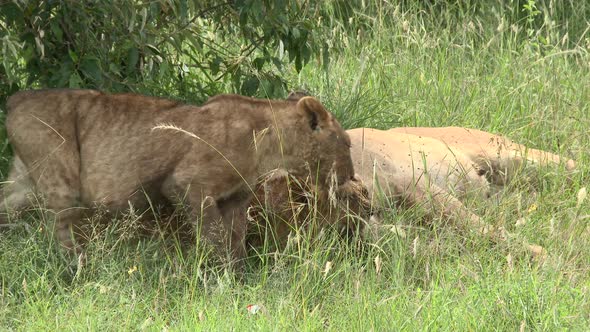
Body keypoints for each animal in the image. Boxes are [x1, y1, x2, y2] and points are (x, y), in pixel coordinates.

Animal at [0, 89, 356, 264]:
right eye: (347, 144)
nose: (352, 176)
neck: (270, 144)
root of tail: (15, 99)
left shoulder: (235, 198)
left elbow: (236, 239)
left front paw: (239, 278)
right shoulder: (187, 184)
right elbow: (215, 237)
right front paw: (219, 276)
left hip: (22, 183)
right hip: (60, 177)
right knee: (64, 232)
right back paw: (78, 271)